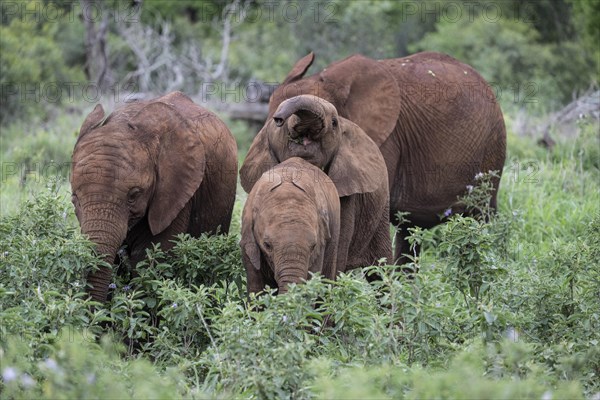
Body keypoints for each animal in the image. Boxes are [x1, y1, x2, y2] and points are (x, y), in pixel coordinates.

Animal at [264, 51, 504, 264]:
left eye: (325, 125)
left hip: (492, 148)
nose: (281, 119)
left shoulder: (387, 142)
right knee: (409, 231)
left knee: (483, 216)